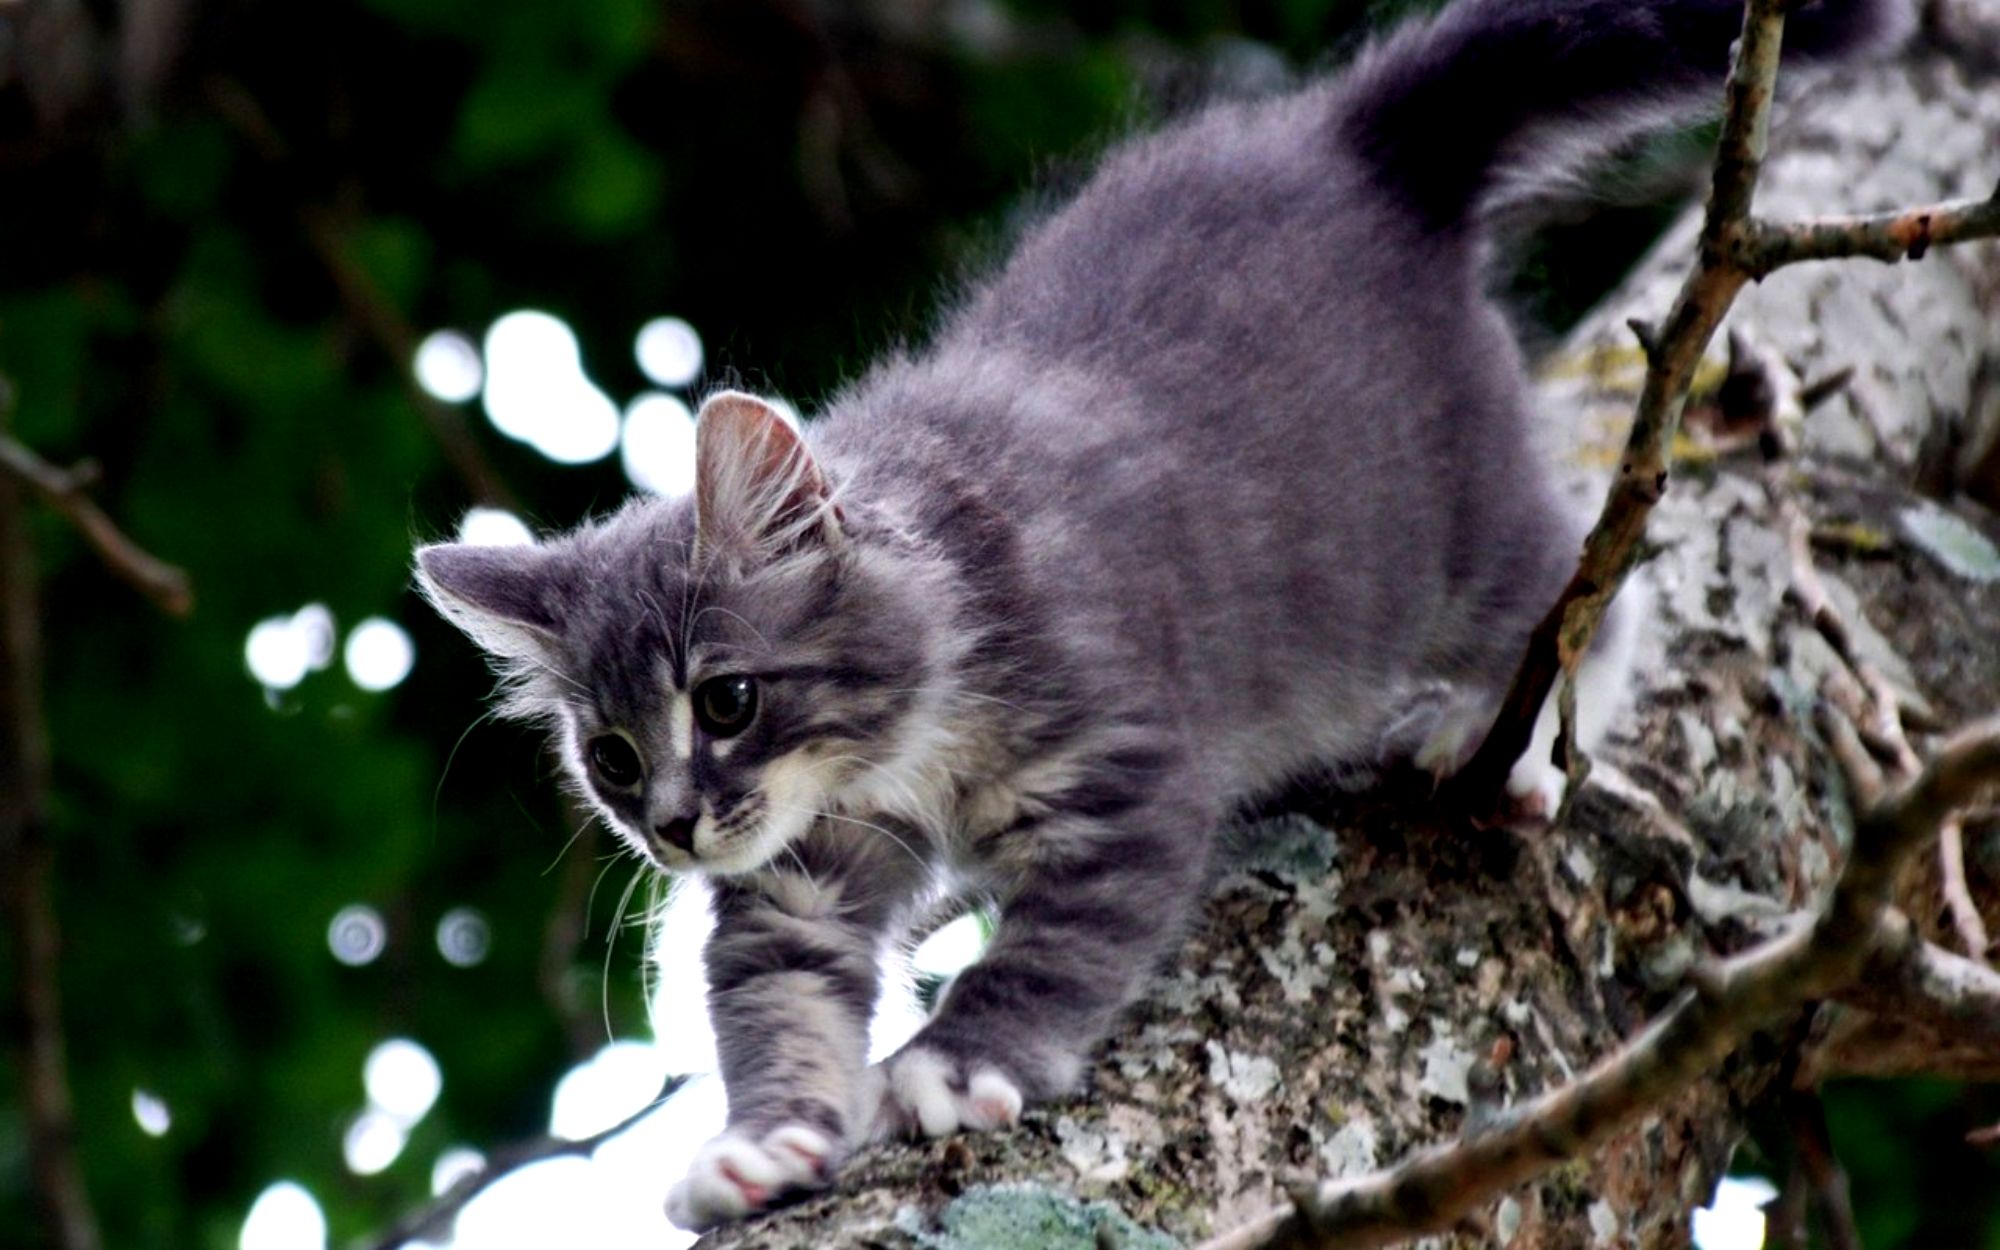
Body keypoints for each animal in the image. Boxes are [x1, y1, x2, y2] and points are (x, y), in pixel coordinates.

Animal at [426, 0, 1904, 1232]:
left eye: (726, 699)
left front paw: (958, 1057)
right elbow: (776, 994)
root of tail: (1349, 138)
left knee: (1593, 580)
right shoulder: (797, 876)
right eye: (611, 758)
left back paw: (1511, 730)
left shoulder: (1123, 769)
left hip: (1449, 527)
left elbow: (1060, 943)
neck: (913, 710)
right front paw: (761, 1141)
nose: (672, 828)